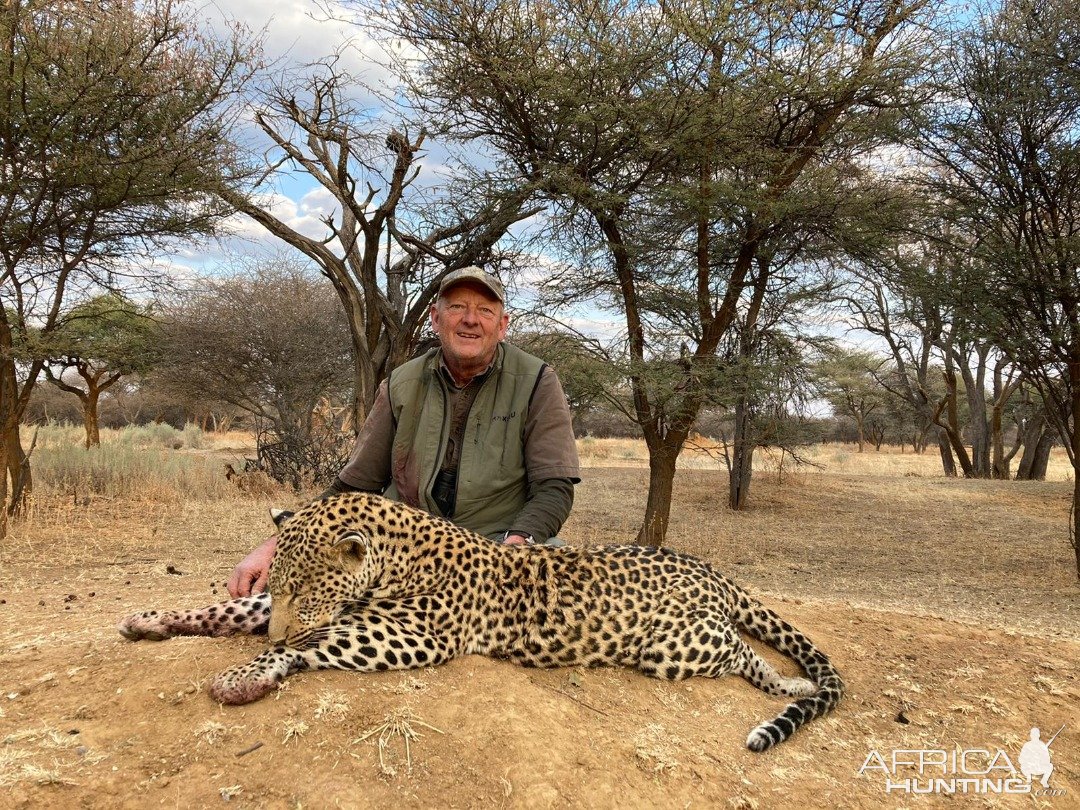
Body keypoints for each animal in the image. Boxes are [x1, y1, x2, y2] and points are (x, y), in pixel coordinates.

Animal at [120, 494, 842, 756]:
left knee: (739, 650)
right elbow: (229, 611)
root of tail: (706, 566)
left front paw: (244, 673)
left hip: (673, 645)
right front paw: (151, 619)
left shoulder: (411, 636)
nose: (280, 634)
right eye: (281, 585)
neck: (394, 555)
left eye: (304, 587)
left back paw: (790, 686)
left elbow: (316, 643)